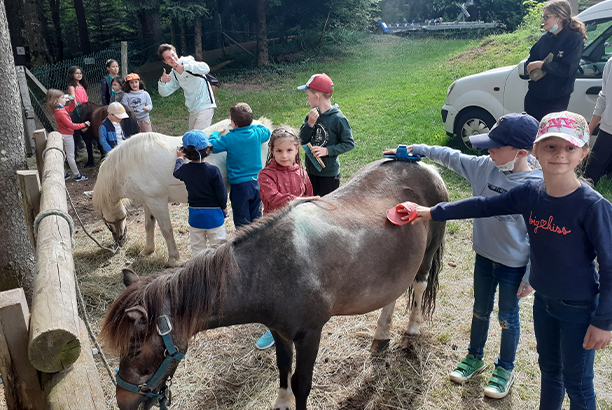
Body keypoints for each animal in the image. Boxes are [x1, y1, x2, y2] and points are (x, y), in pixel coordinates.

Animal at [92, 118, 272, 268]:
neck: (131, 164)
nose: (119, 239)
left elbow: (166, 229)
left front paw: (173, 259)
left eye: (105, 220)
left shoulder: (157, 202)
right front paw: (148, 250)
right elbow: (149, 225)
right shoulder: (148, 201)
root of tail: (259, 125)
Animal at [100, 159, 450, 408]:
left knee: (419, 286)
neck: (272, 270)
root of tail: (426, 167)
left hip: (427, 255)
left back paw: (411, 331)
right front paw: (281, 403)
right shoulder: (280, 330)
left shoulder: (310, 335)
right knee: (393, 293)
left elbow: (301, 383)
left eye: (135, 349)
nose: (124, 403)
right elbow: (283, 367)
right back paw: (381, 334)